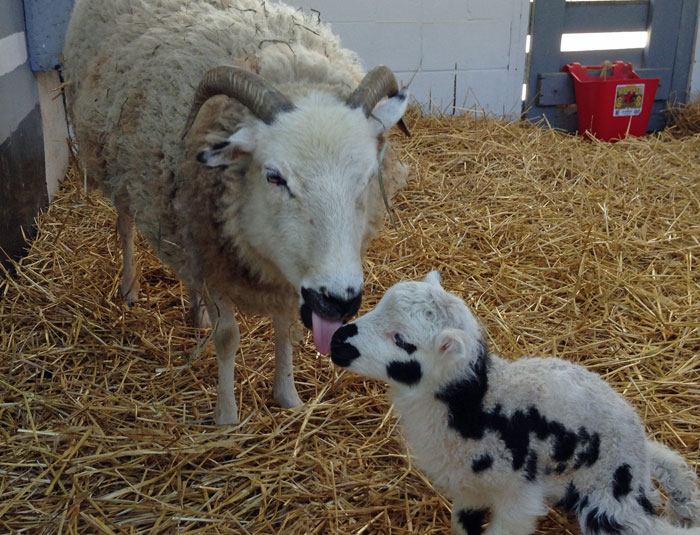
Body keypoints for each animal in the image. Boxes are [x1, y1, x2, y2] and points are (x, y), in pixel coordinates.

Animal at [63, 1, 410, 428]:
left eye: (366, 177)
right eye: (274, 176)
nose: (339, 302)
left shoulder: (272, 273)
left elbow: (283, 328)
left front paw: (288, 396)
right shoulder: (215, 253)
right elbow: (228, 337)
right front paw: (226, 415)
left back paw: (196, 312)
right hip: (117, 168)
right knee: (125, 226)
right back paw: (129, 289)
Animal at [330, 272, 700, 535]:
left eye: (402, 340)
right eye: (377, 305)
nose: (336, 341)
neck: (476, 407)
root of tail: (637, 453)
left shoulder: (518, 495)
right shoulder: (468, 487)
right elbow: (463, 524)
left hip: (609, 500)